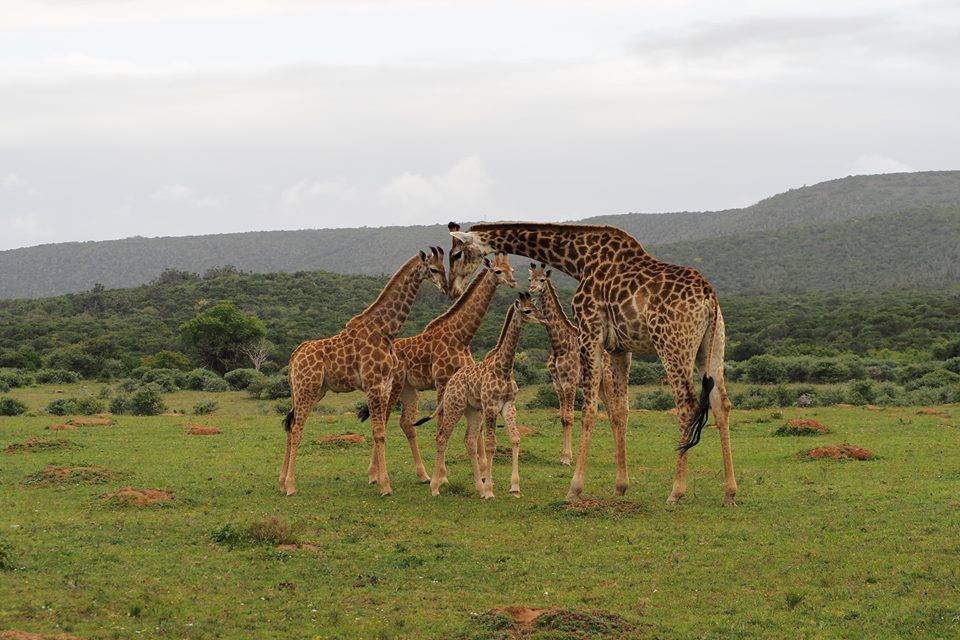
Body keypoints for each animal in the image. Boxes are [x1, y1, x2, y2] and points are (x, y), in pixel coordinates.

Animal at [280, 248, 448, 498]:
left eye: (446, 267)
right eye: (434, 269)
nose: (446, 288)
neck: (386, 330)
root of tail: (294, 356)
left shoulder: (385, 385)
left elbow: (381, 430)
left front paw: (379, 479)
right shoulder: (373, 383)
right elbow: (378, 432)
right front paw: (385, 486)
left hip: (310, 391)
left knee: (290, 426)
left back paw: (281, 482)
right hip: (306, 388)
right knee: (298, 428)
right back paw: (291, 486)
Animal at [358, 252, 516, 482]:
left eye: (511, 269)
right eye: (498, 271)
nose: (513, 282)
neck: (461, 336)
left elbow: (474, 428)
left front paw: (482, 469)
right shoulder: (442, 381)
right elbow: (442, 424)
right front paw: (442, 475)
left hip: (409, 390)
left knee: (406, 423)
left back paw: (423, 474)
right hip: (393, 385)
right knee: (385, 419)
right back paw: (374, 474)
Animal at [430, 292, 544, 500]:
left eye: (536, 306)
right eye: (527, 310)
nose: (543, 319)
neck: (504, 368)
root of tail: (451, 381)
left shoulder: (509, 405)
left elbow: (515, 438)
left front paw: (514, 487)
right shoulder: (491, 406)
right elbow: (491, 444)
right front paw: (490, 490)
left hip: (473, 411)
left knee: (469, 440)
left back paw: (478, 487)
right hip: (454, 405)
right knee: (442, 437)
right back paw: (435, 487)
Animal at [524, 262, 616, 468]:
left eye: (543, 279)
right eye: (530, 278)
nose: (532, 289)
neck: (559, 344)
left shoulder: (570, 382)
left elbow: (570, 417)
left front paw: (567, 457)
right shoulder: (557, 383)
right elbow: (562, 418)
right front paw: (564, 456)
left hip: (607, 381)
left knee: (616, 412)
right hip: (599, 386)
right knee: (607, 412)